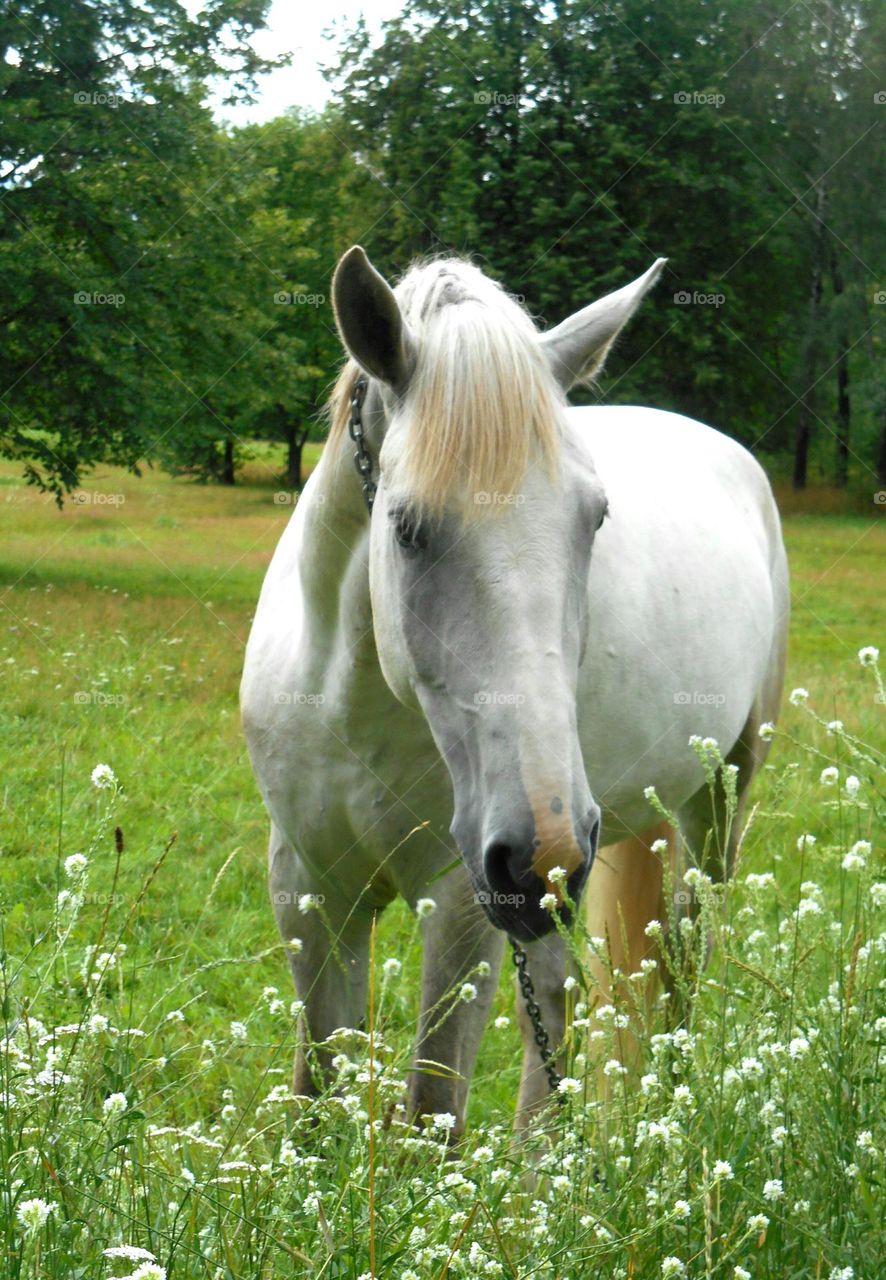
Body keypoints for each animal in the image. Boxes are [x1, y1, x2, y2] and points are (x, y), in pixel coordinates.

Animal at [236, 244, 788, 1136]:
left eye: (594, 519)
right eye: (407, 528)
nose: (541, 851)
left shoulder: (463, 906)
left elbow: (432, 1113)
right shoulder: (310, 890)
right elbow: (319, 1096)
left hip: (707, 802)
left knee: (680, 965)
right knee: (563, 1004)